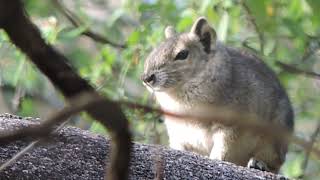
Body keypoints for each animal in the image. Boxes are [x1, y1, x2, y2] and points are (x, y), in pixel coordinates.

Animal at [141, 17, 294, 173]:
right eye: (155, 50)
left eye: (182, 54)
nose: (146, 78)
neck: (181, 95)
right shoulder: (177, 131)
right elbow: (179, 147)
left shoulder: (232, 124)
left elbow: (224, 147)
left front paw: (215, 159)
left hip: (272, 141)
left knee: (273, 163)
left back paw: (258, 163)